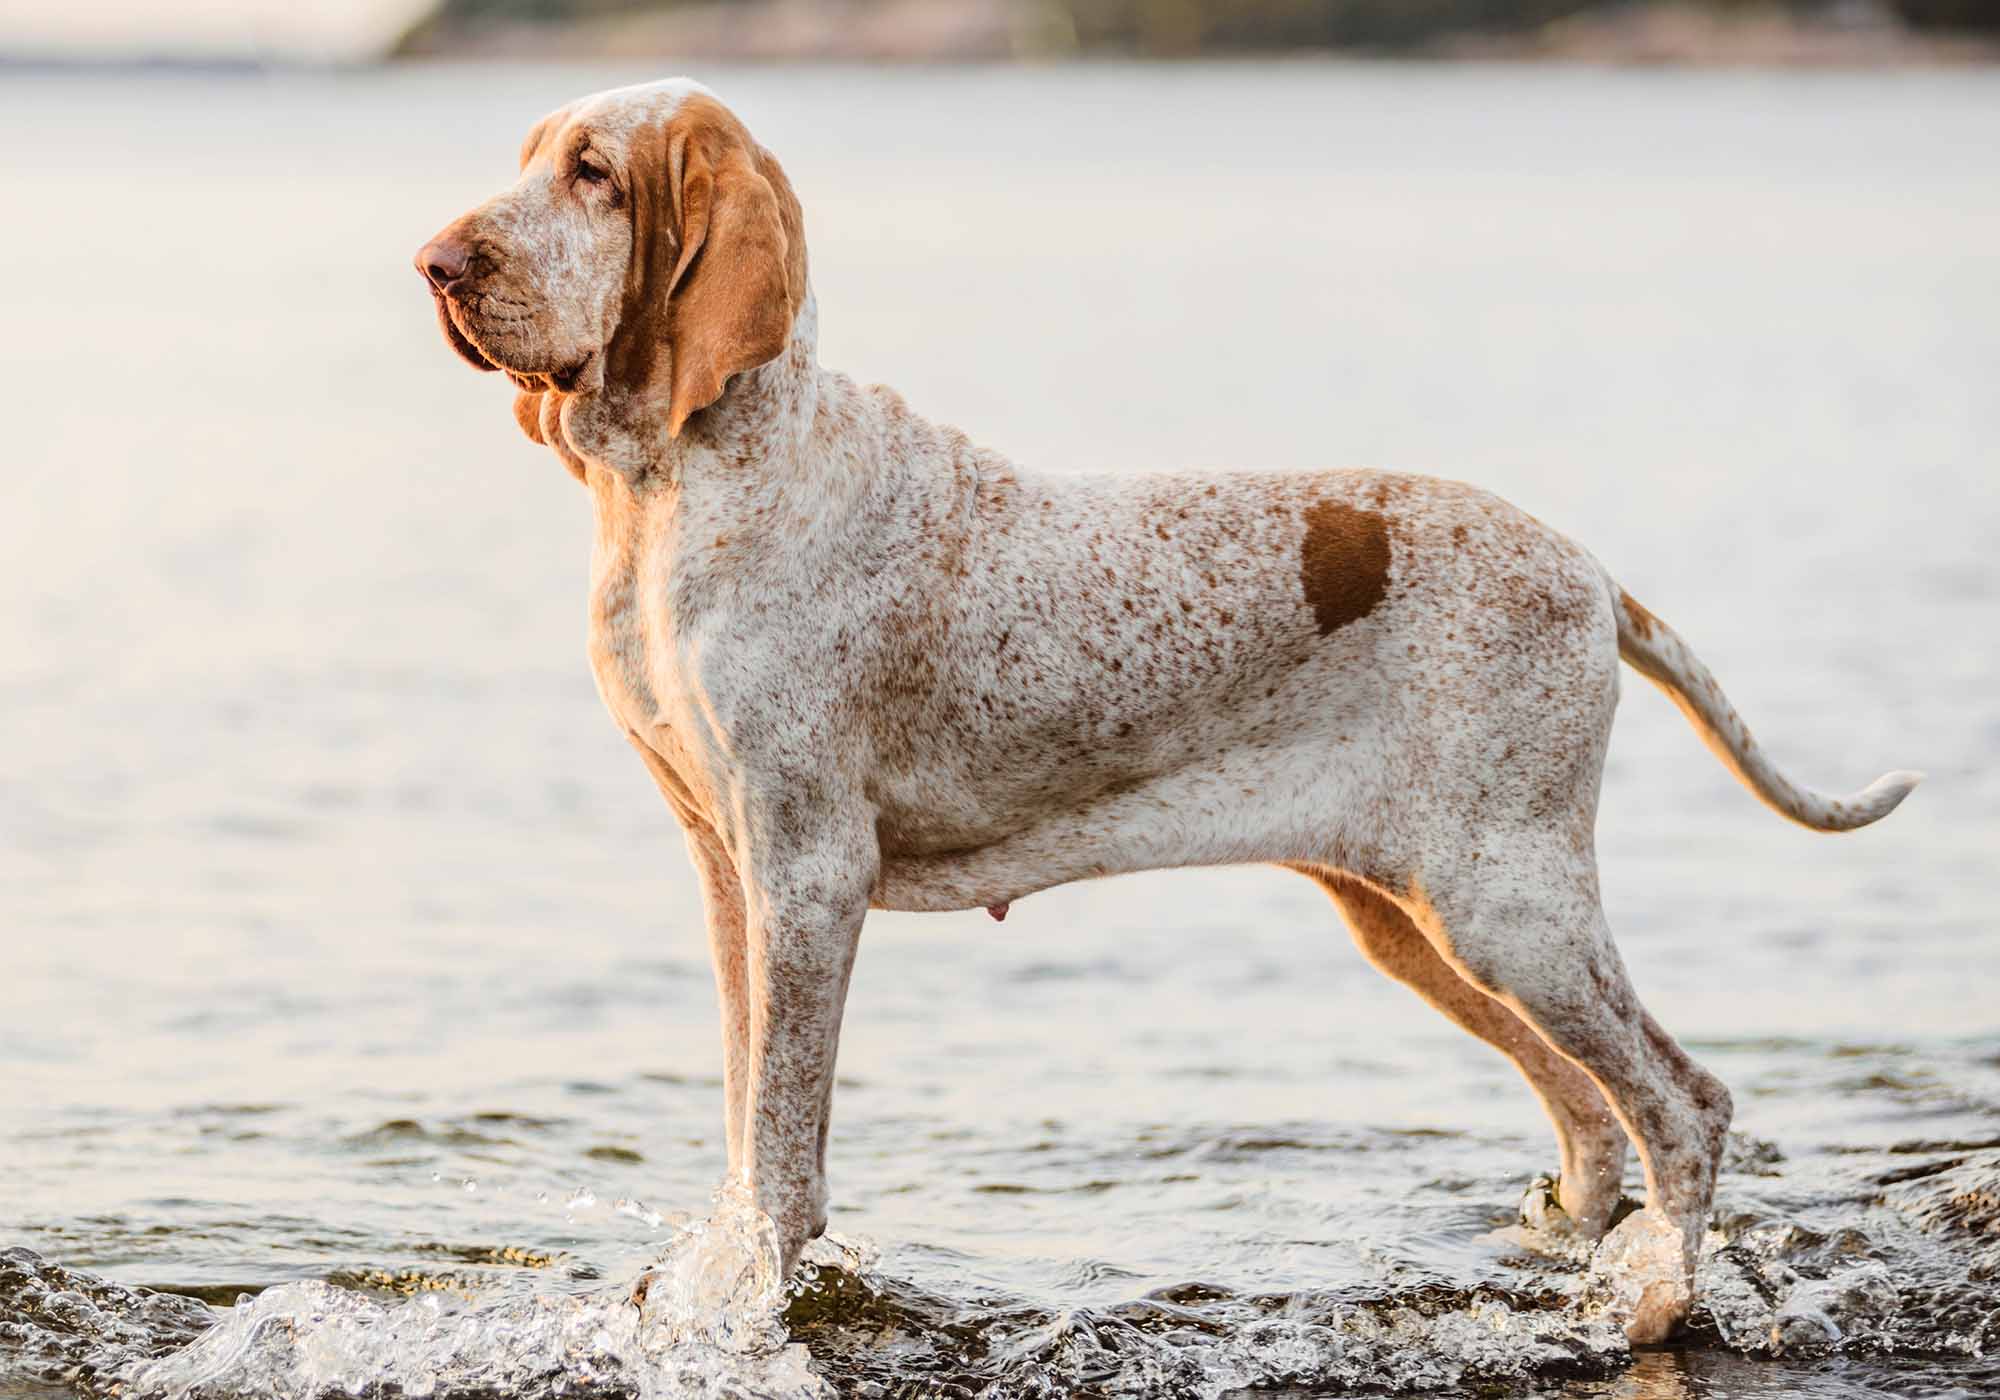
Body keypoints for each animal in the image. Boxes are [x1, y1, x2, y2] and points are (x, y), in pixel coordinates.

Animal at [410, 79, 1920, 1344]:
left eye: (594, 172)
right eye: (532, 159)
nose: (434, 262)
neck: (687, 482)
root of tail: (1594, 574)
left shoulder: (808, 872)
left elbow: (781, 1153)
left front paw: (753, 1315)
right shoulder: (730, 869)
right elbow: (742, 1125)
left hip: (1510, 901)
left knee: (1684, 1105)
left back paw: (1656, 1306)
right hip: (1421, 919)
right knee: (1592, 1120)